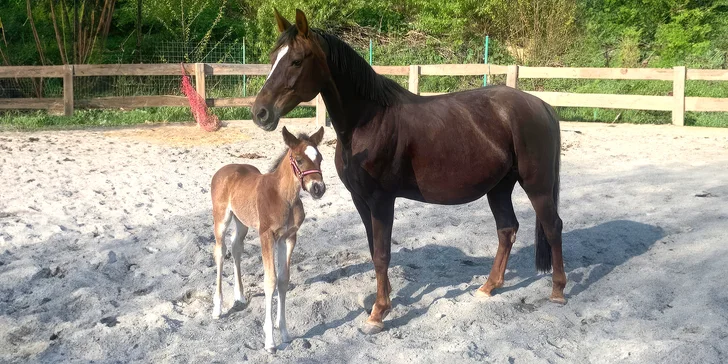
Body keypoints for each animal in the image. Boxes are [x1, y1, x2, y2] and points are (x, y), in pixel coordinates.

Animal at [210, 126, 324, 352]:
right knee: (220, 251)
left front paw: (285, 333)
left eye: (321, 158)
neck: (284, 197)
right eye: (299, 160)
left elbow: (283, 280)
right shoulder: (267, 236)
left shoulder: (288, 237)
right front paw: (270, 340)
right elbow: (270, 281)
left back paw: (240, 296)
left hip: (242, 222)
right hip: (221, 219)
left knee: (236, 248)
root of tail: (223, 170)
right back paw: (217, 308)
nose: (319, 188)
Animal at [253, 8, 564, 334]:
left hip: (537, 186)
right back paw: (489, 286)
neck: (367, 121)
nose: (260, 112)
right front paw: (385, 300)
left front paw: (378, 312)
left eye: (296, 60)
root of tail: (542, 106)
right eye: (273, 56)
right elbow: (374, 250)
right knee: (507, 229)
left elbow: (381, 254)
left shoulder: (381, 200)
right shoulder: (361, 200)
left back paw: (557, 291)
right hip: (499, 187)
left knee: (553, 226)